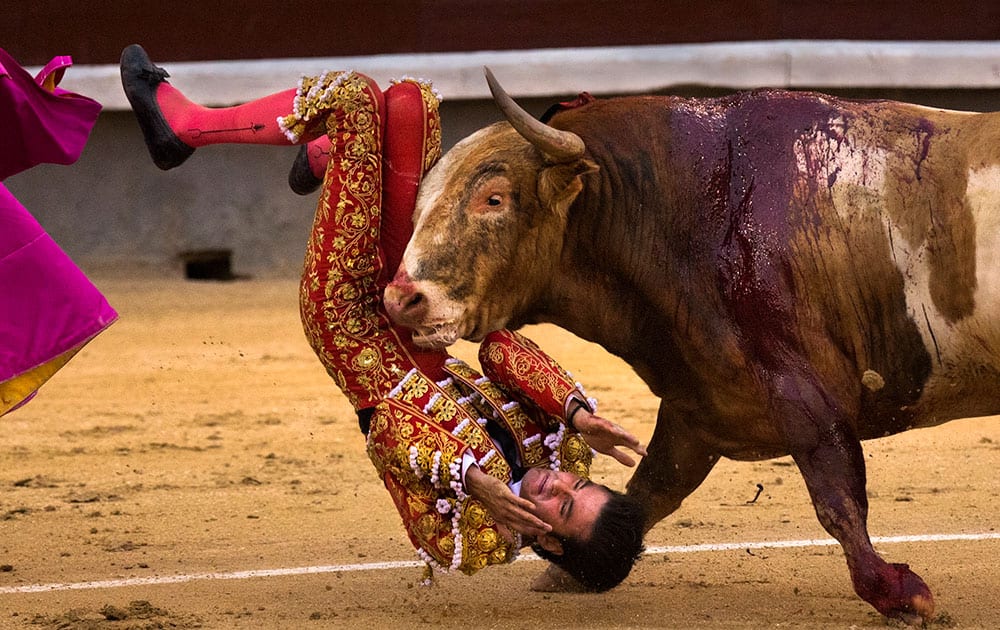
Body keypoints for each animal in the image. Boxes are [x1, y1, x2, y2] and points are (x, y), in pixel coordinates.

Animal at [382, 68, 1000, 624]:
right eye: (417, 207)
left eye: (494, 199)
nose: (399, 299)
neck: (682, 208)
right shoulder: (700, 408)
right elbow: (654, 485)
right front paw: (560, 574)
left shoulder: (801, 391)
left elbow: (837, 493)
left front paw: (900, 593)